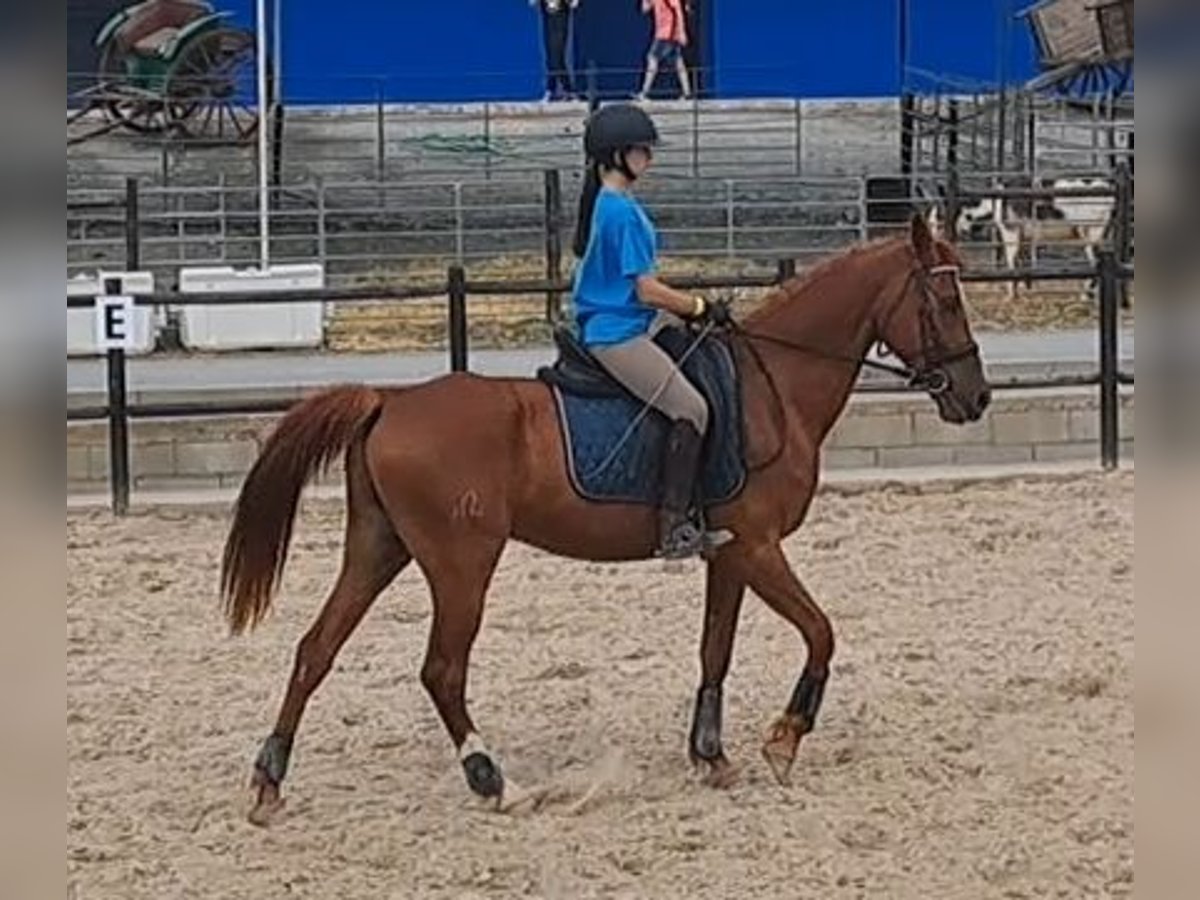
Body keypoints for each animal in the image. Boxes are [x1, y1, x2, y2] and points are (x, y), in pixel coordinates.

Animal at [220, 211, 988, 825]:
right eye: (947, 298)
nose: (975, 396)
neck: (774, 385)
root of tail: (389, 401)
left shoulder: (729, 552)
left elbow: (716, 650)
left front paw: (711, 756)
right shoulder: (759, 546)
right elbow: (822, 632)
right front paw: (784, 738)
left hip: (379, 548)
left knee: (315, 650)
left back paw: (268, 783)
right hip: (462, 563)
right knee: (441, 670)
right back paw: (492, 780)